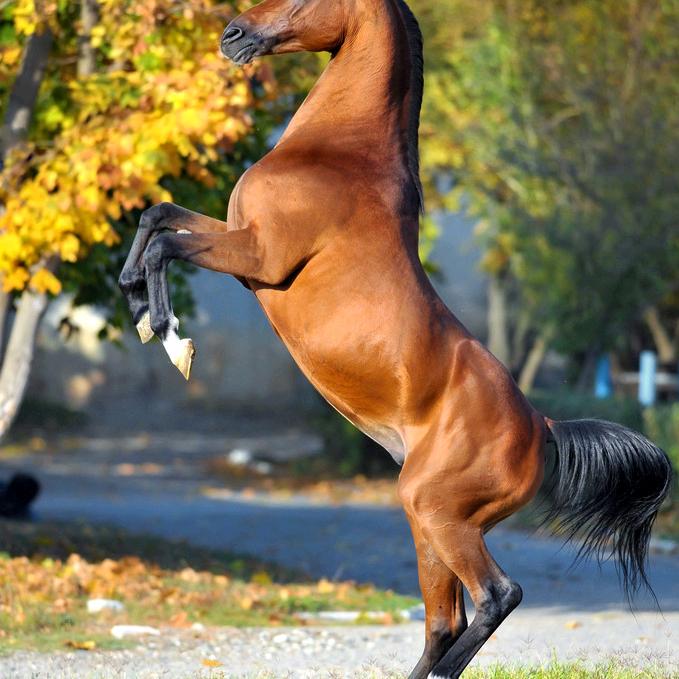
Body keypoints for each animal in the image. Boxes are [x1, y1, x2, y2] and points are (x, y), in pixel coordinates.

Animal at [118, 1, 673, 676]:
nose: (233, 37)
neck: (339, 154)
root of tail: (541, 427)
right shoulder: (233, 234)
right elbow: (157, 215)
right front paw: (136, 301)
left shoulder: (256, 255)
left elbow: (166, 242)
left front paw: (171, 337)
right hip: (430, 522)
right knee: (444, 621)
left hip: (436, 513)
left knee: (497, 596)